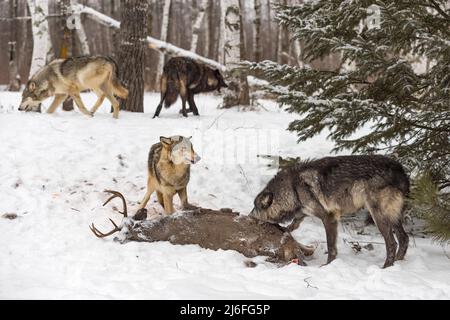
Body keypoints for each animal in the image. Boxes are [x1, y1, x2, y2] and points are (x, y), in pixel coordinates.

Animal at [250, 155, 412, 268]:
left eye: (255, 207)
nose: (249, 216)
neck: (293, 188)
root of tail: (401, 171)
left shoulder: (329, 217)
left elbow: (330, 246)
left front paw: (327, 265)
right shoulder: (304, 212)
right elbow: (294, 224)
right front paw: (285, 231)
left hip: (378, 217)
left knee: (392, 243)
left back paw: (386, 267)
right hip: (393, 217)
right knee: (404, 238)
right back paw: (398, 263)